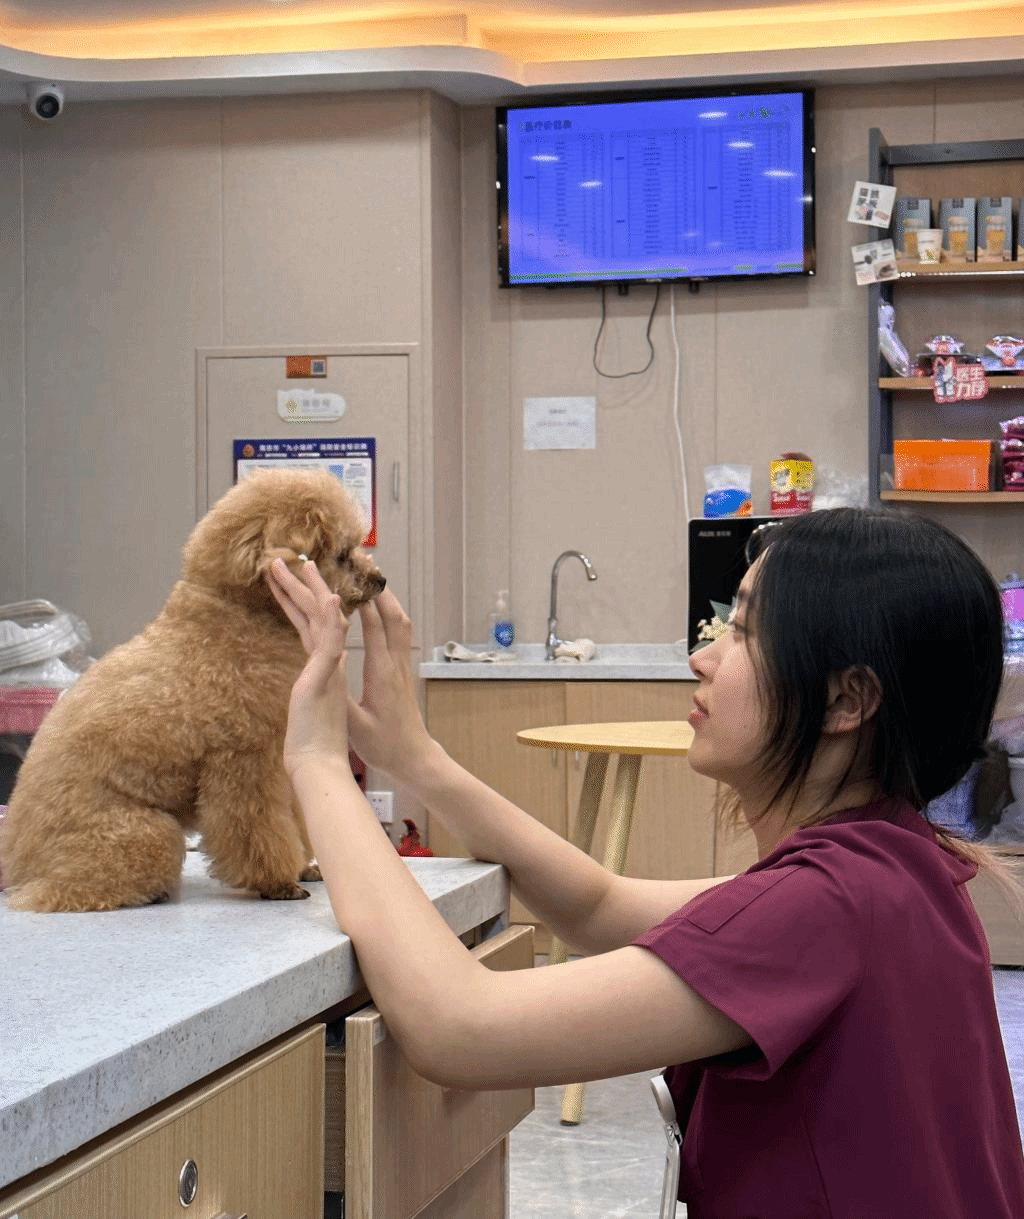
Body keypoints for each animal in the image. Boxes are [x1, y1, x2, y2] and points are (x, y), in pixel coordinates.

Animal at [0, 467, 385, 912]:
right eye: (342, 554)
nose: (381, 580)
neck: (240, 618)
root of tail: (17, 863)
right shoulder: (244, 760)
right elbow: (259, 826)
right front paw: (278, 882)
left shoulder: (278, 755)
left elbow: (294, 815)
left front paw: (305, 865)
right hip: (142, 836)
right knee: (72, 890)